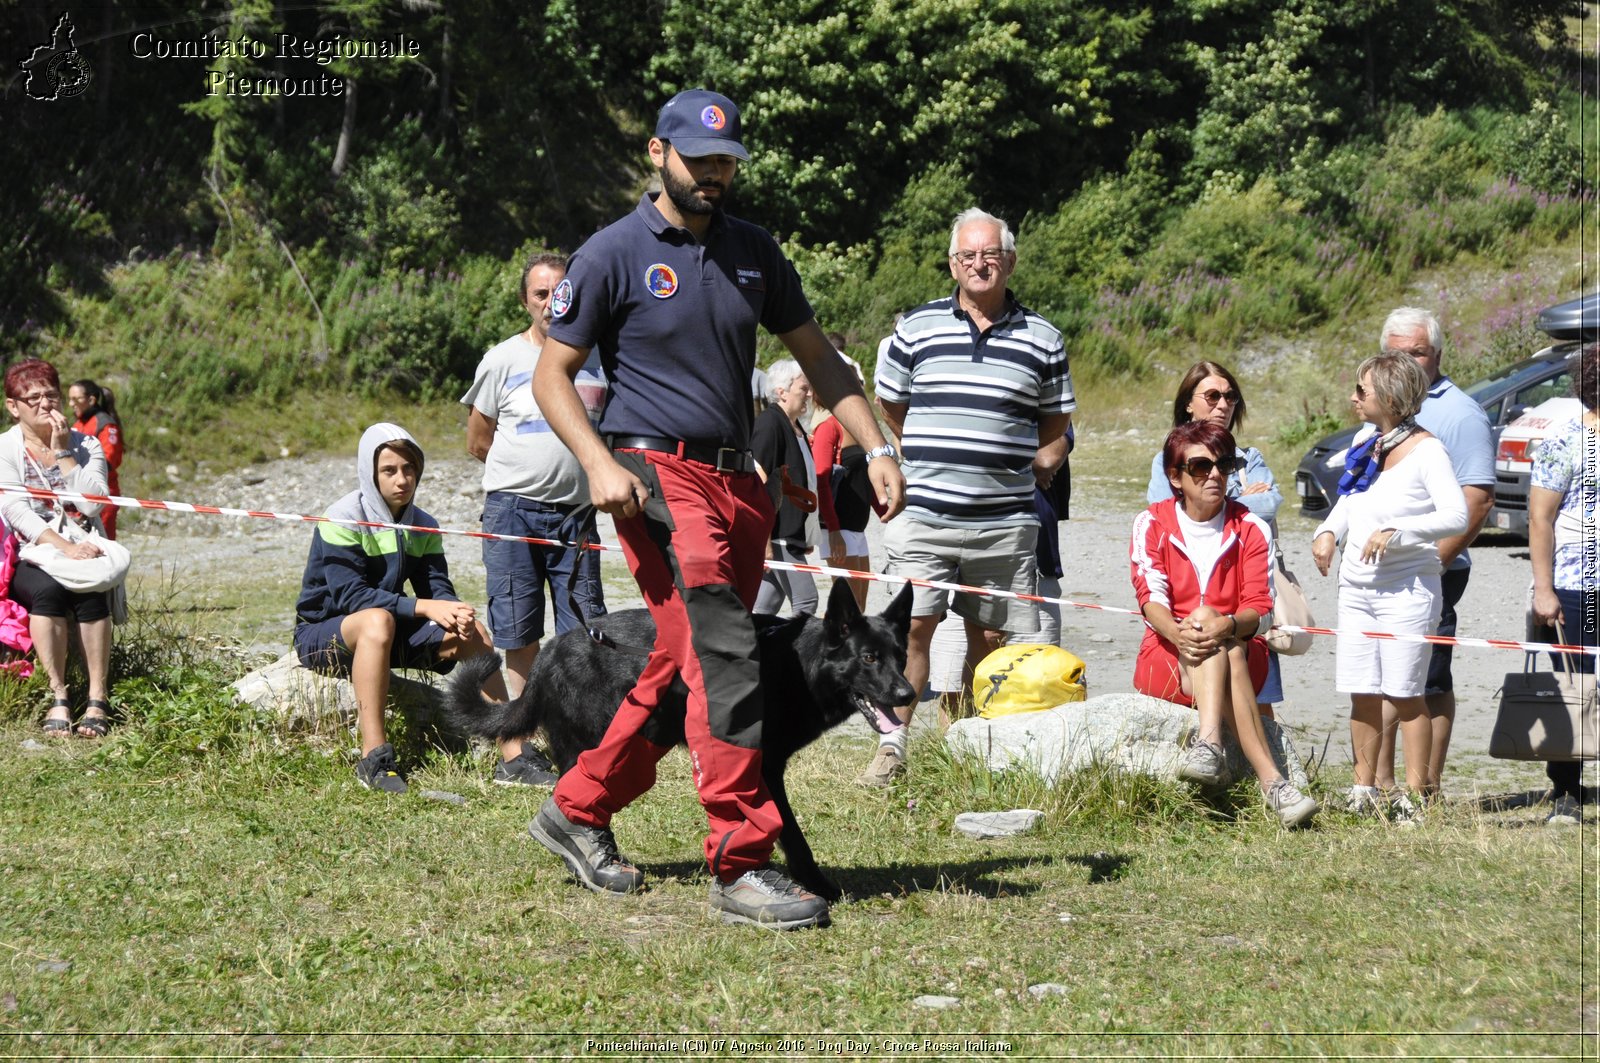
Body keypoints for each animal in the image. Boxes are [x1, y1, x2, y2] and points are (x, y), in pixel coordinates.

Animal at [451, 576, 915, 902]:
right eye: (869, 658)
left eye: (900, 657)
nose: (908, 695)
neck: (801, 664)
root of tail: (550, 649)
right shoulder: (763, 766)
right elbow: (788, 829)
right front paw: (813, 882)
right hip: (597, 740)